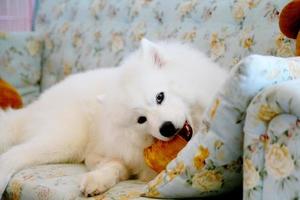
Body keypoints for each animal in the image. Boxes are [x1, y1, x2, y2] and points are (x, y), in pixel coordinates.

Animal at [0, 39, 227, 197]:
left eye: (160, 97)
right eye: (141, 119)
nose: (167, 128)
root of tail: (36, 104)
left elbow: (115, 166)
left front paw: (96, 181)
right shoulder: (104, 153)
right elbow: (114, 165)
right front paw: (97, 180)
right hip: (64, 142)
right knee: (14, 154)